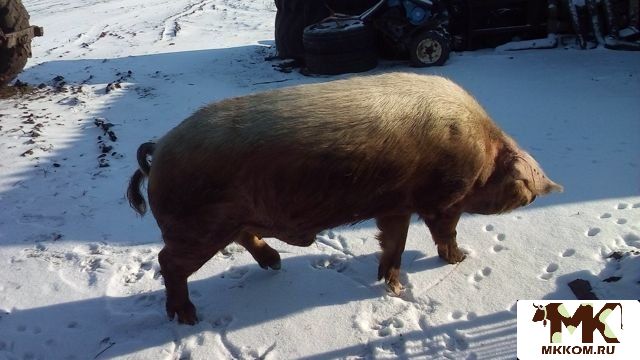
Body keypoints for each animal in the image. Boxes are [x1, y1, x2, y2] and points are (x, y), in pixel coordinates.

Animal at [127, 71, 564, 324]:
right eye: (521, 184)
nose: (542, 192)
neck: (484, 153)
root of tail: (158, 149)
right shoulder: (442, 198)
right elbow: (444, 231)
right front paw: (458, 259)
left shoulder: (395, 205)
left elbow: (394, 243)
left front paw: (391, 284)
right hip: (196, 225)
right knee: (168, 263)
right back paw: (187, 317)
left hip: (225, 219)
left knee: (241, 237)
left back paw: (275, 264)